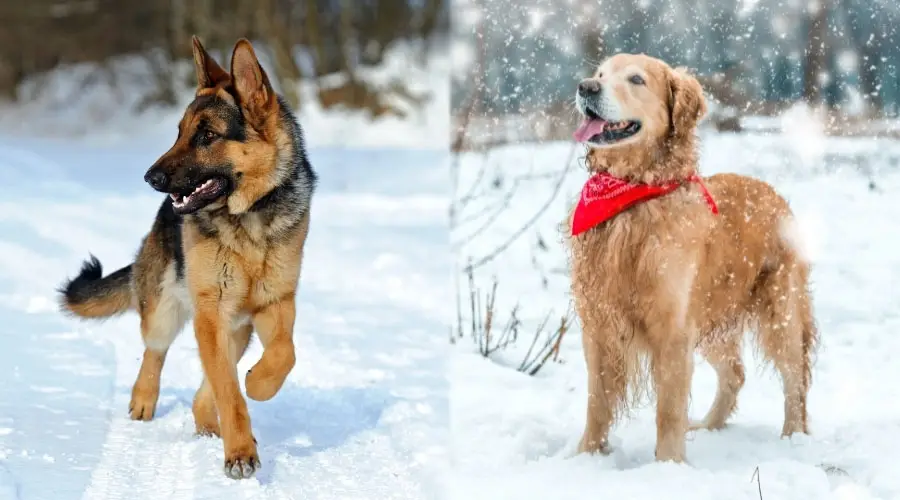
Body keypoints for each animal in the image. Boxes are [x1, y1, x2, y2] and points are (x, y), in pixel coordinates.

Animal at [57, 36, 316, 480]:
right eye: (179, 133)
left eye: (207, 135)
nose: (150, 178)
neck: (248, 219)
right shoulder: (212, 312)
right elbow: (229, 391)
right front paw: (240, 452)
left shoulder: (275, 303)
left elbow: (284, 354)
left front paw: (258, 384)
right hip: (168, 312)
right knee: (156, 351)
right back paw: (144, 400)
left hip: (237, 329)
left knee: (209, 384)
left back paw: (210, 419)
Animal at [568, 52, 816, 462]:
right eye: (600, 73)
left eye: (636, 79)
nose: (586, 86)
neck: (634, 194)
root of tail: (773, 192)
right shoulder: (599, 321)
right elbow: (597, 401)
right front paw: (585, 456)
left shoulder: (673, 326)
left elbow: (668, 409)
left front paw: (669, 464)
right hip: (713, 314)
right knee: (735, 372)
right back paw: (709, 426)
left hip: (780, 310)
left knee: (795, 379)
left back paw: (793, 438)